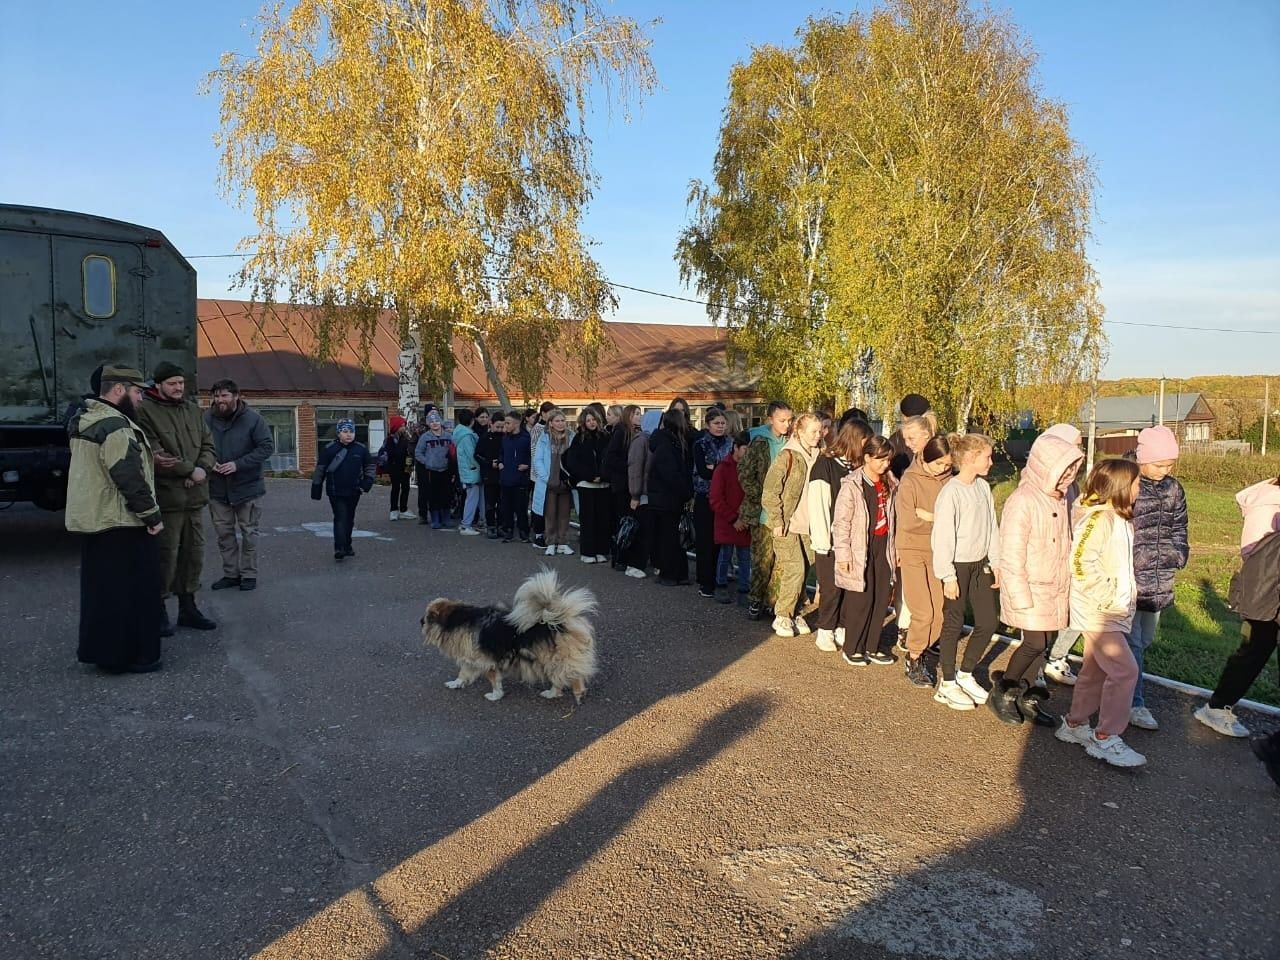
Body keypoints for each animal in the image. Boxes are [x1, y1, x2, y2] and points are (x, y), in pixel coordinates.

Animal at [422, 568, 596, 701]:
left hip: (554, 659)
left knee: (569, 676)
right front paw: (455, 684)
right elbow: (463, 673)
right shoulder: (471, 659)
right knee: (561, 678)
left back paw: (575, 693)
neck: (459, 619)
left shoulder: (486, 661)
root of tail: (558, 621)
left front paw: (495, 696)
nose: (420, 621)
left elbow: (494, 680)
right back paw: (555, 693)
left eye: (427, 617)